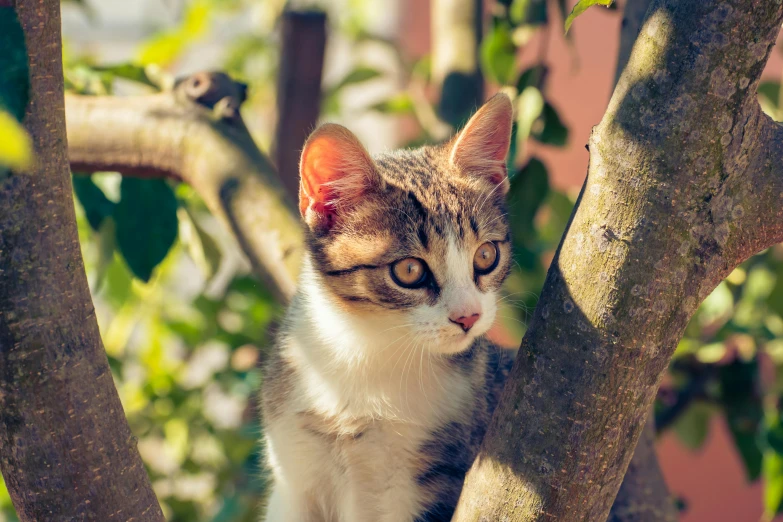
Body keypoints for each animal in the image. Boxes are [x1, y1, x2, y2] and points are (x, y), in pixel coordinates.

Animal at [264, 94, 516, 520]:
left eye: (486, 255)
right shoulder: (294, 474)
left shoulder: (423, 485)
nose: (469, 316)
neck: (367, 348)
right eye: (409, 270)